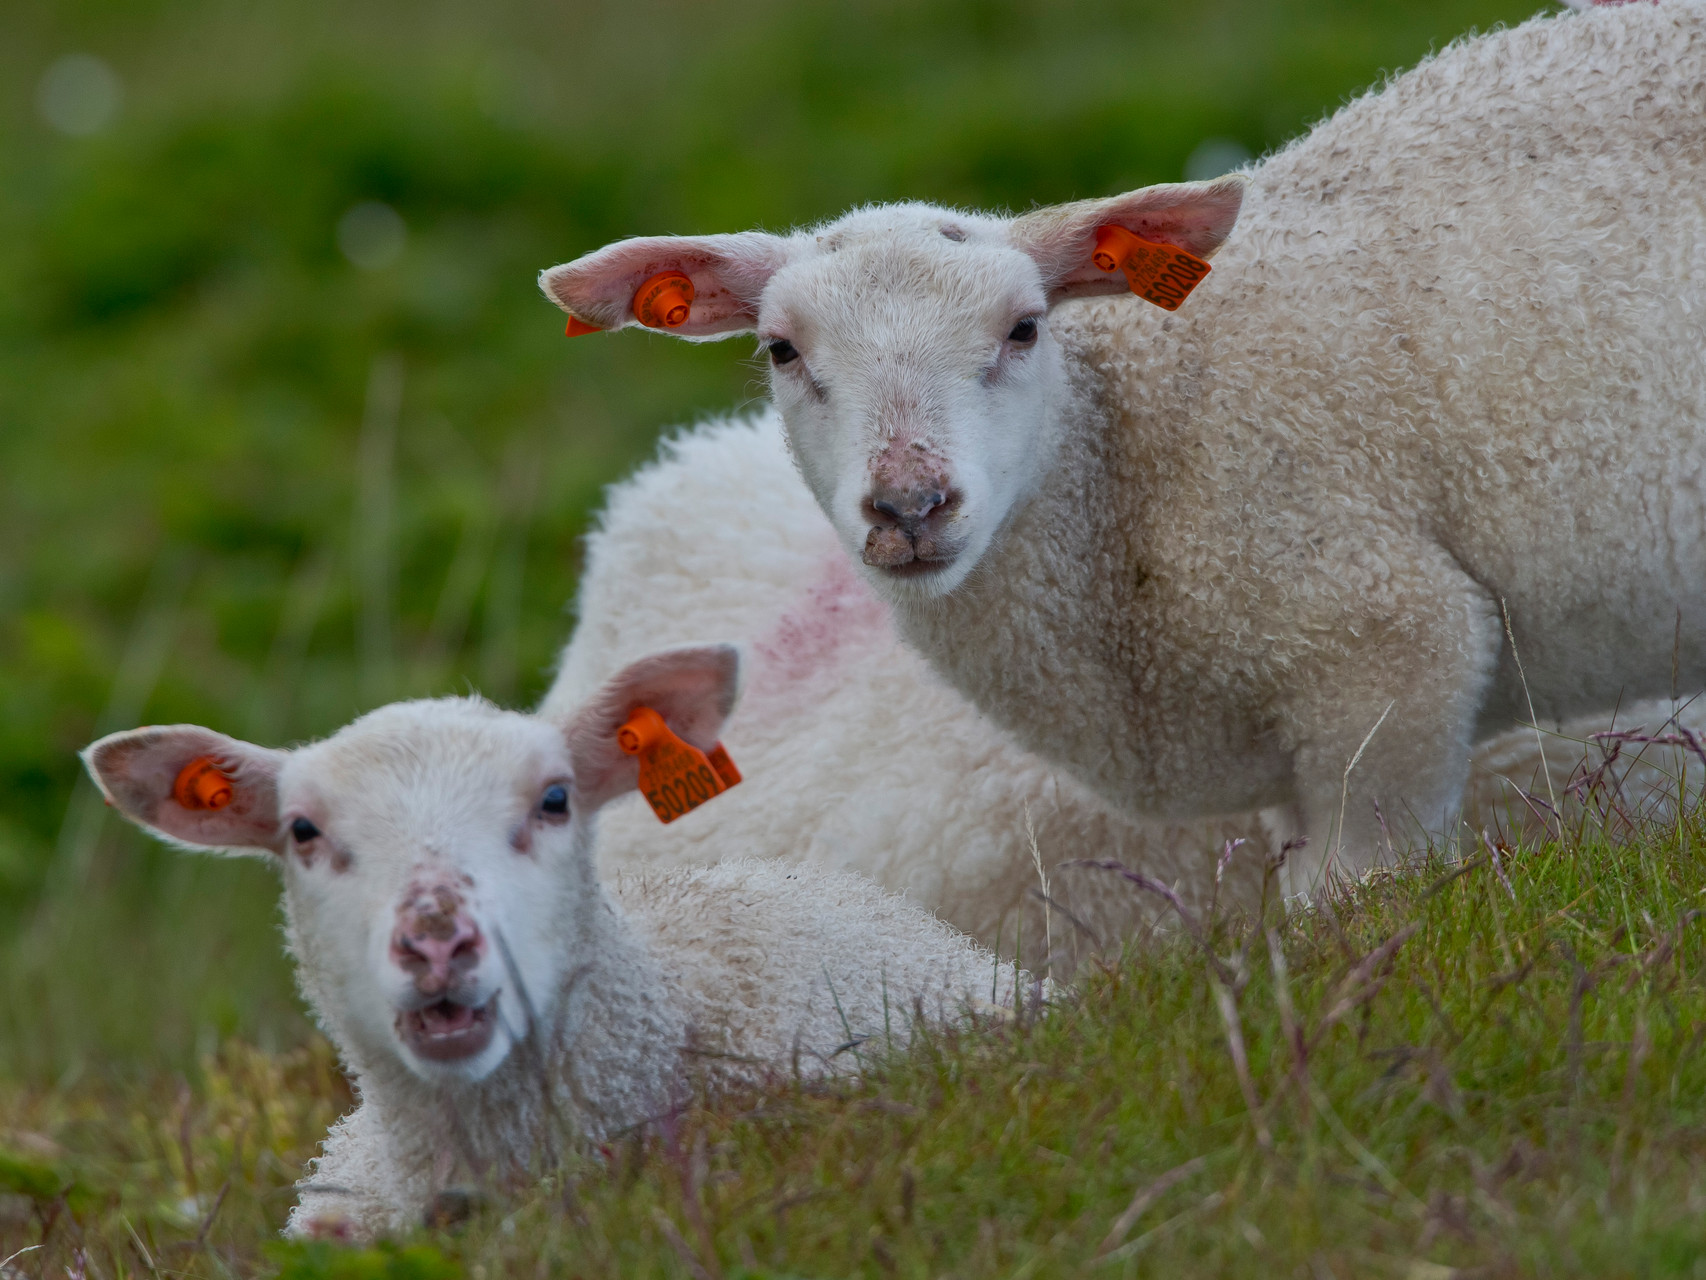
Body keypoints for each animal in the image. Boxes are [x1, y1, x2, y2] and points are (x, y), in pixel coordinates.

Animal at [540, 3, 1706, 899]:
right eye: (781, 351)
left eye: (1022, 330)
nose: (910, 505)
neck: (1117, 465)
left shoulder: (1387, 656)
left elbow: (1356, 891)